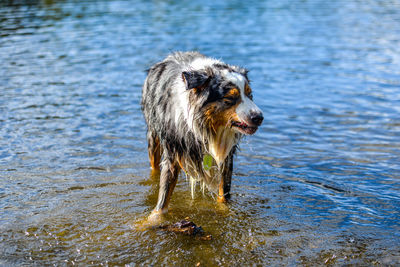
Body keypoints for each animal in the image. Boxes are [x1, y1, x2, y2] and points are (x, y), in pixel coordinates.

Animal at [141, 51, 262, 219]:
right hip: (153, 135)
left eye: (250, 95)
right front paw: (155, 217)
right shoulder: (173, 151)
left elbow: (224, 191)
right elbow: (164, 193)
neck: (205, 126)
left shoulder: (226, 156)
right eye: (230, 98)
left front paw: (224, 210)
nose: (259, 117)